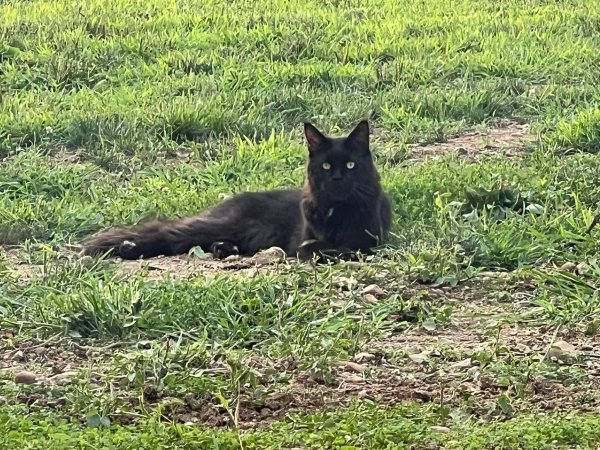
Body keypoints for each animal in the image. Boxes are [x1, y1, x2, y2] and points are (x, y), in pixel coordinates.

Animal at [83, 119, 394, 262]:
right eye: (327, 165)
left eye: (351, 165)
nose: (338, 178)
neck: (337, 210)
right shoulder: (305, 240)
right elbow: (314, 247)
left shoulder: (369, 242)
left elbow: (344, 248)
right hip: (219, 224)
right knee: (167, 233)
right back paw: (124, 247)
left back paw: (224, 249)